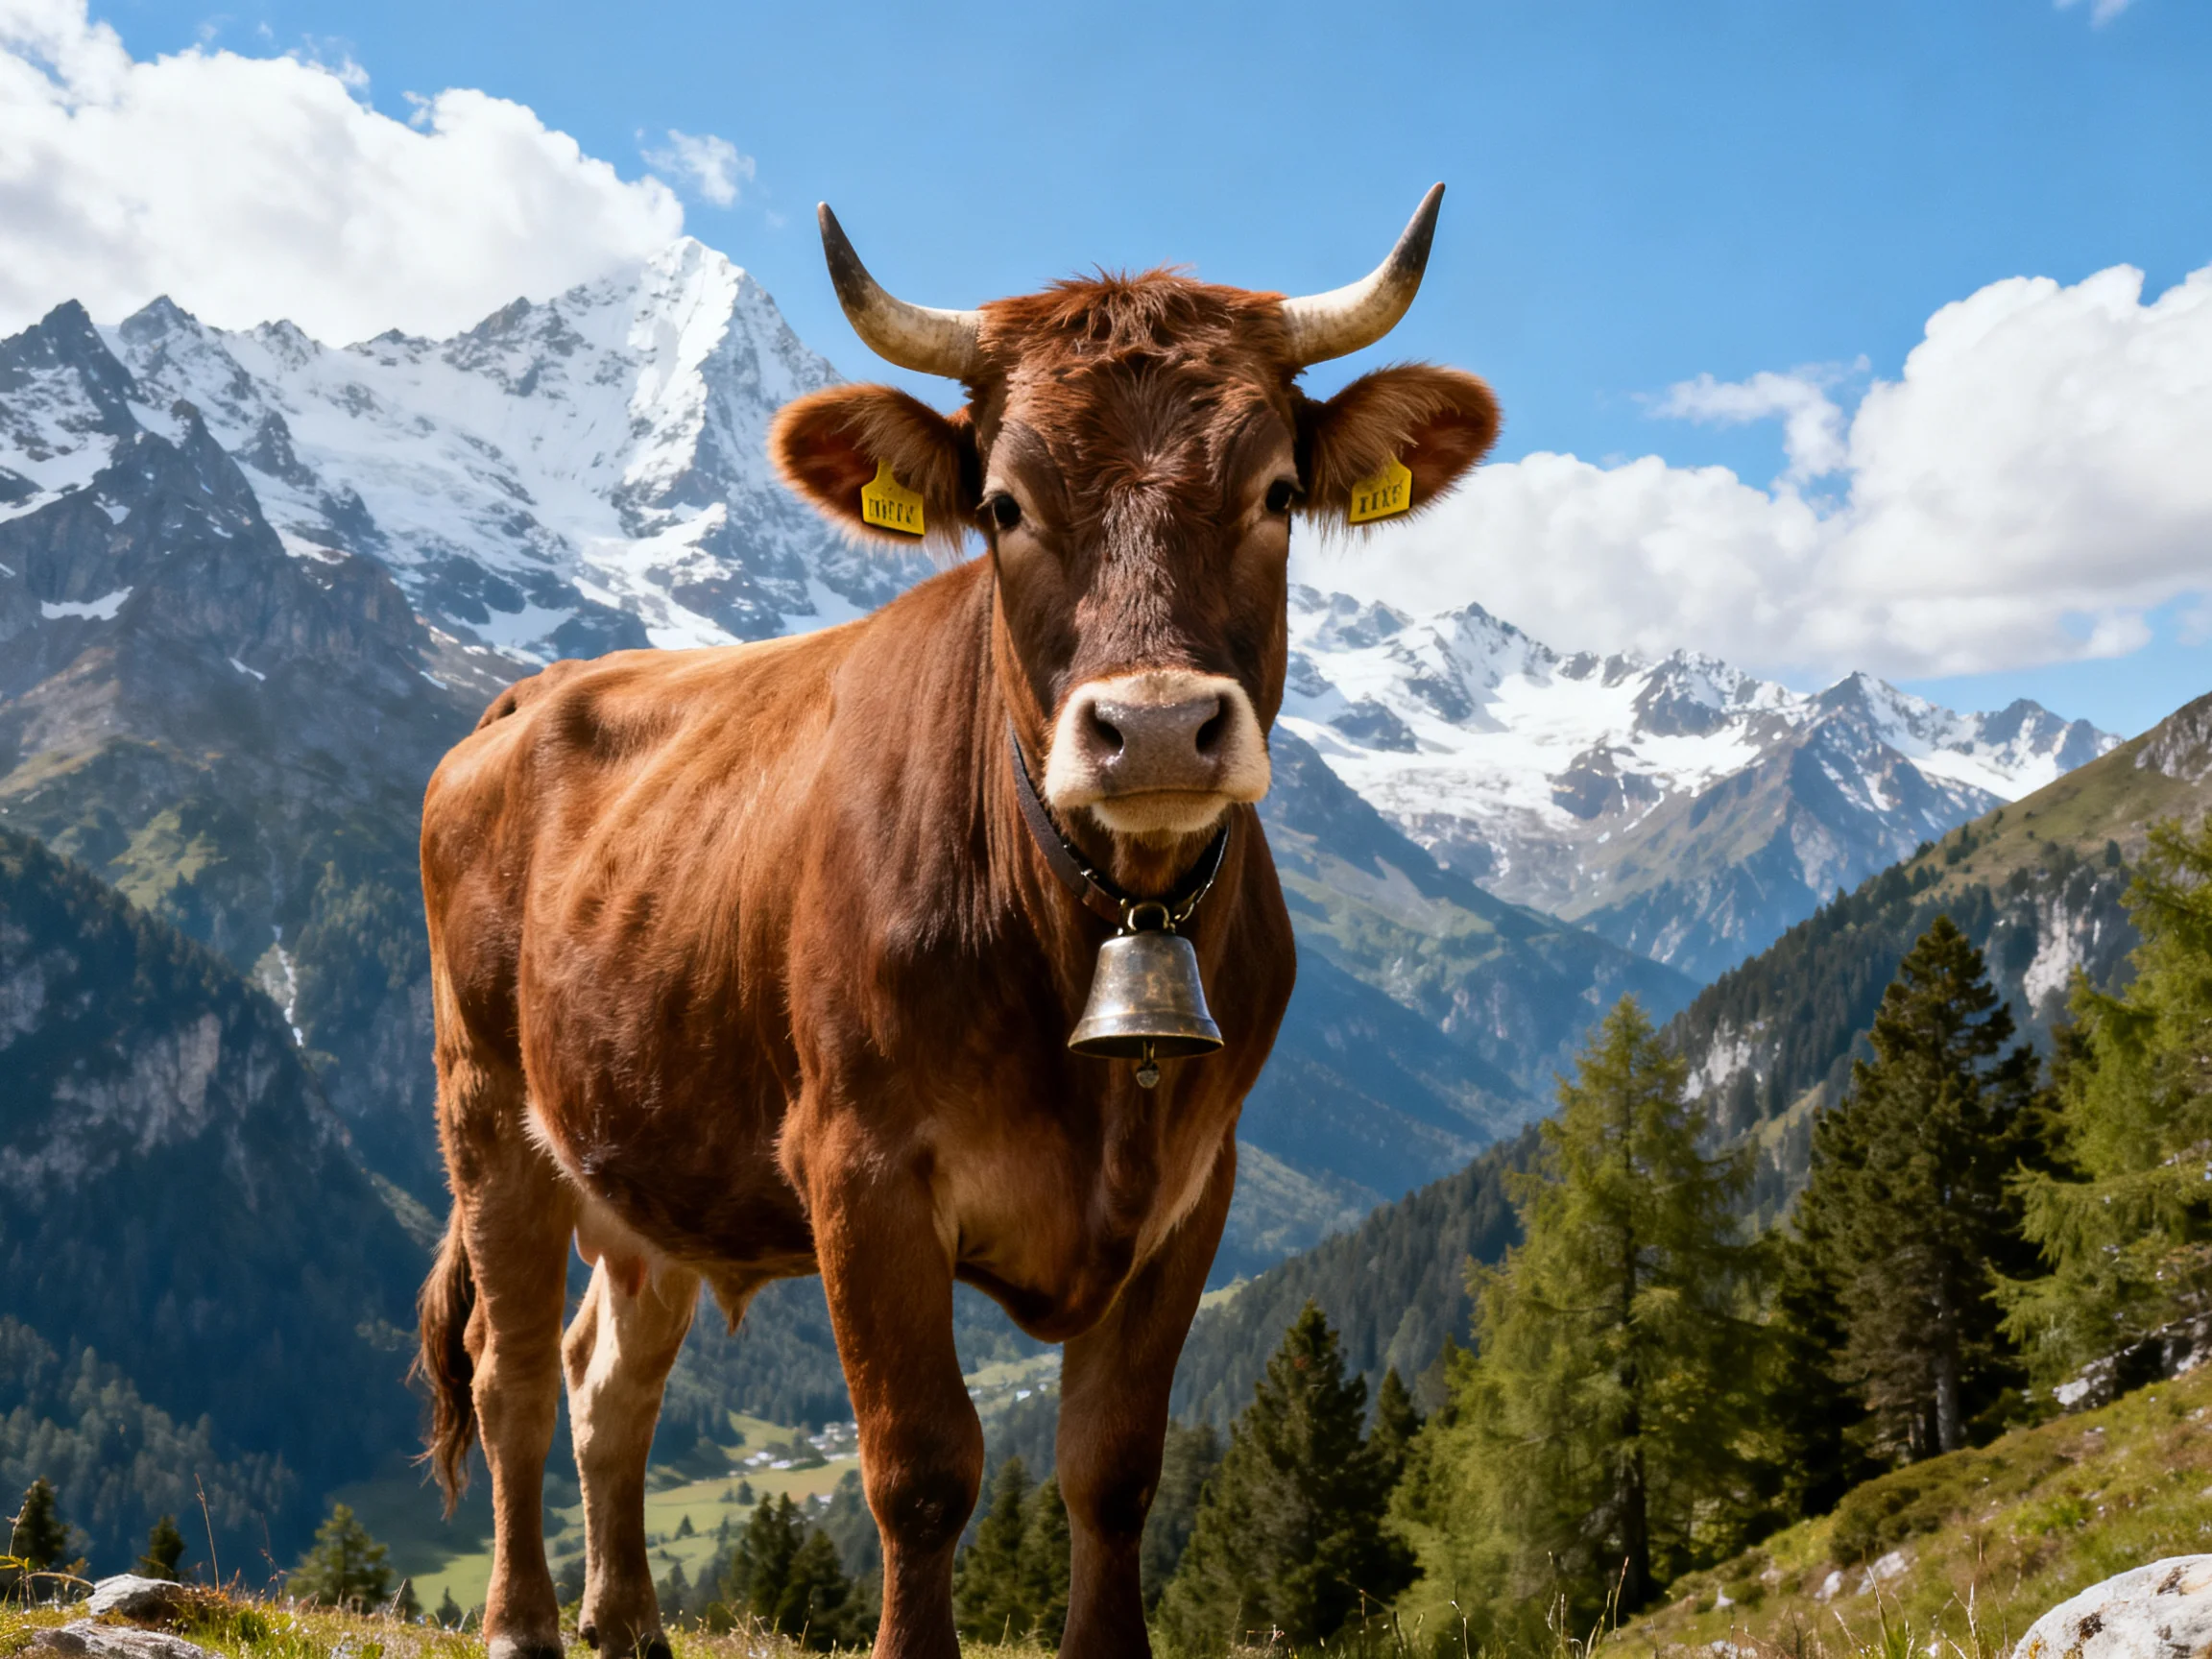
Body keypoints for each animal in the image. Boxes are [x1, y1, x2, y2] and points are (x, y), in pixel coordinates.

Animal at [413, 185, 1499, 1659]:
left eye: (1277, 492)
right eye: (1001, 503)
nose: (1159, 724)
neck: (1096, 922)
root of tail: (531, 695)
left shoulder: (1195, 1185)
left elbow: (1113, 1469)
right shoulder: (859, 1168)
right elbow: (921, 1467)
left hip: (647, 1158)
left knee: (608, 1382)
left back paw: (628, 1619)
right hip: (485, 1109)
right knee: (512, 1369)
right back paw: (524, 1618)